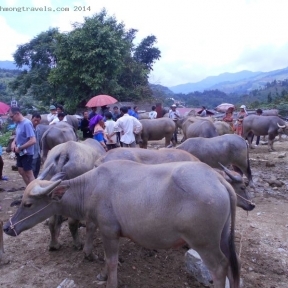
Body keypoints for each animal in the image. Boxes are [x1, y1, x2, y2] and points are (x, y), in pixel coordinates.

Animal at [4, 162, 241, 288]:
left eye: (28, 203)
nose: (7, 227)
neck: (91, 187)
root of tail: (219, 180)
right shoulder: (106, 231)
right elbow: (107, 259)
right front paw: (102, 275)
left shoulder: (109, 231)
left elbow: (111, 261)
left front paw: (110, 281)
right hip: (222, 238)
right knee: (231, 265)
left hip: (204, 243)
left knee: (219, 267)